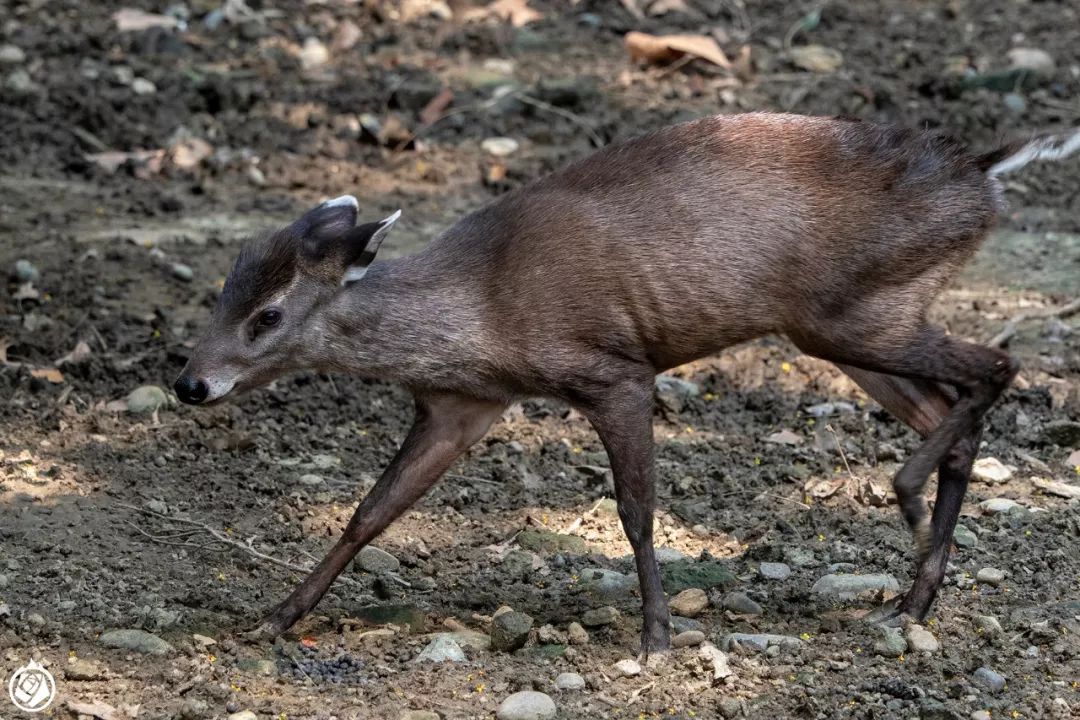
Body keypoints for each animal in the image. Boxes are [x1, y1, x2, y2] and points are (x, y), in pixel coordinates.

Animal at [172, 111, 1075, 651]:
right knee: (954, 405)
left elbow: (638, 513)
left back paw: (906, 502)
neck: (484, 315)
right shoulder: (464, 402)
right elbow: (370, 513)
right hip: (854, 326)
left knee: (998, 366)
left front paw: (655, 634)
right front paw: (277, 616)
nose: (190, 384)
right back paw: (914, 598)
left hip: (854, 314)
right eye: (222, 294)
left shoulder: (612, 369)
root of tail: (985, 172)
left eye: (268, 316)